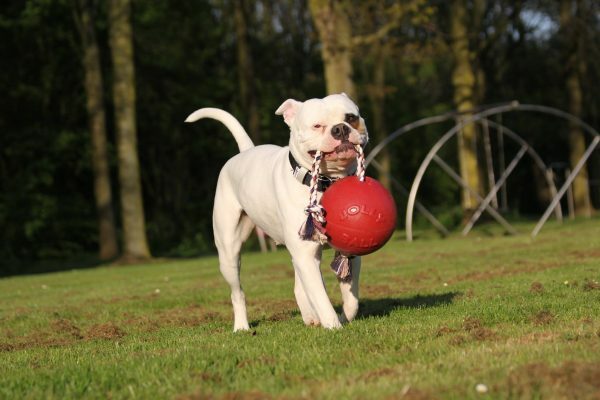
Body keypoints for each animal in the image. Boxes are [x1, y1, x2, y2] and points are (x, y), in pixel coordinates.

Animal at [185, 94, 368, 332]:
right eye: (317, 125)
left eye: (351, 118)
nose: (340, 129)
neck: (326, 181)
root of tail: (245, 152)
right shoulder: (305, 254)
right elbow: (321, 297)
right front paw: (333, 326)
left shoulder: (345, 251)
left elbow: (351, 297)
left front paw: (345, 317)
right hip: (229, 253)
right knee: (237, 292)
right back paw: (242, 326)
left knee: (299, 287)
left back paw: (310, 316)